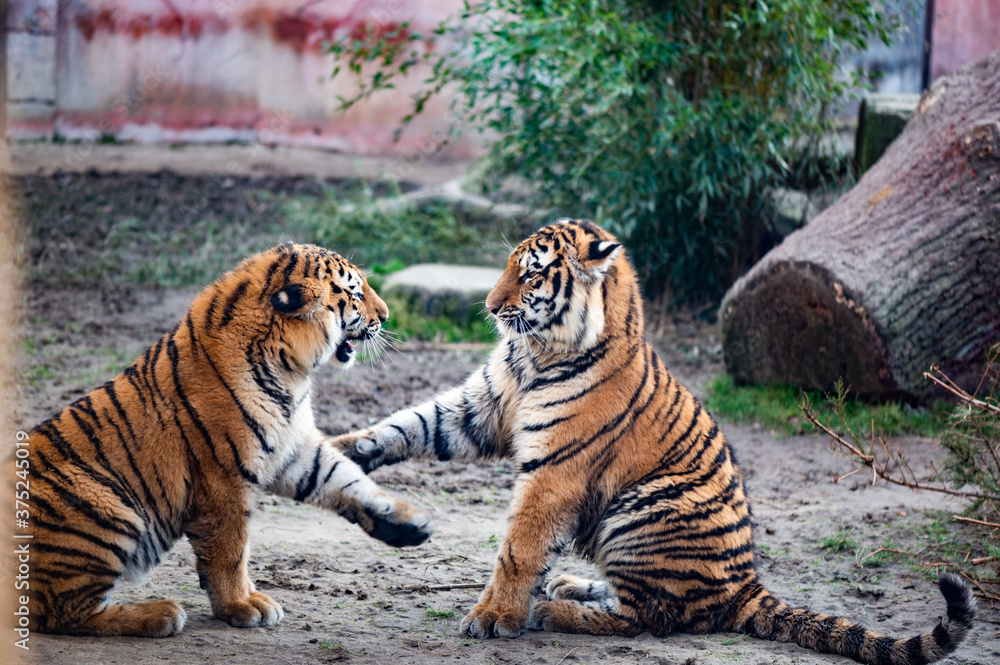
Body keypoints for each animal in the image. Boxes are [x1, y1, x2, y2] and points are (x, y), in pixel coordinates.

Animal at [23, 243, 433, 637]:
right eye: (354, 292)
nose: (387, 316)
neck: (292, 374)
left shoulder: (295, 450)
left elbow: (347, 479)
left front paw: (407, 523)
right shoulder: (224, 478)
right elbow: (230, 549)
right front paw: (241, 605)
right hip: (106, 505)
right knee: (57, 610)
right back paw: (159, 614)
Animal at [332, 220, 976, 665]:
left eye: (532, 274)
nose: (490, 308)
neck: (534, 355)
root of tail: (749, 585)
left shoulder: (554, 471)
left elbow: (519, 547)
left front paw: (494, 617)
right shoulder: (480, 409)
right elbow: (407, 423)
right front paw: (341, 449)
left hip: (642, 508)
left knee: (647, 617)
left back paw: (550, 608)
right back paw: (569, 585)